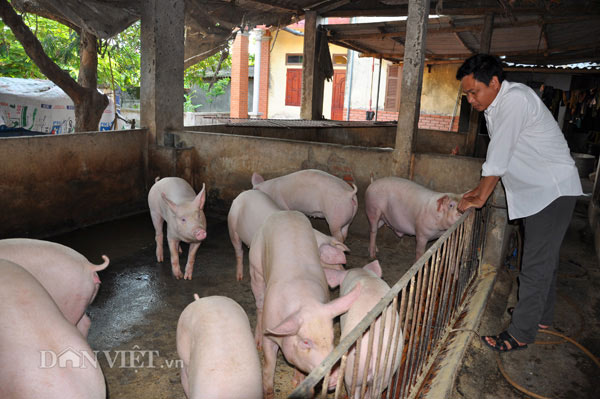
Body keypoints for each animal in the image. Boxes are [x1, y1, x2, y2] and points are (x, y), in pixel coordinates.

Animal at [248, 211, 360, 398]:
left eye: (332, 338)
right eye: (306, 342)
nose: (334, 378)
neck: (305, 302)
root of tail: (284, 213)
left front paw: (298, 383)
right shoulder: (270, 335)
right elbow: (269, 364)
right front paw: (268, 392)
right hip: (255, 267)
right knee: (259, 303)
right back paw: (256, 342)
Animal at [324, 260, 404, 398]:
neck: (363, 274)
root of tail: (375, 344)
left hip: (353, 369)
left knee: (353, 390)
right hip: (387, 369)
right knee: (375, 392)